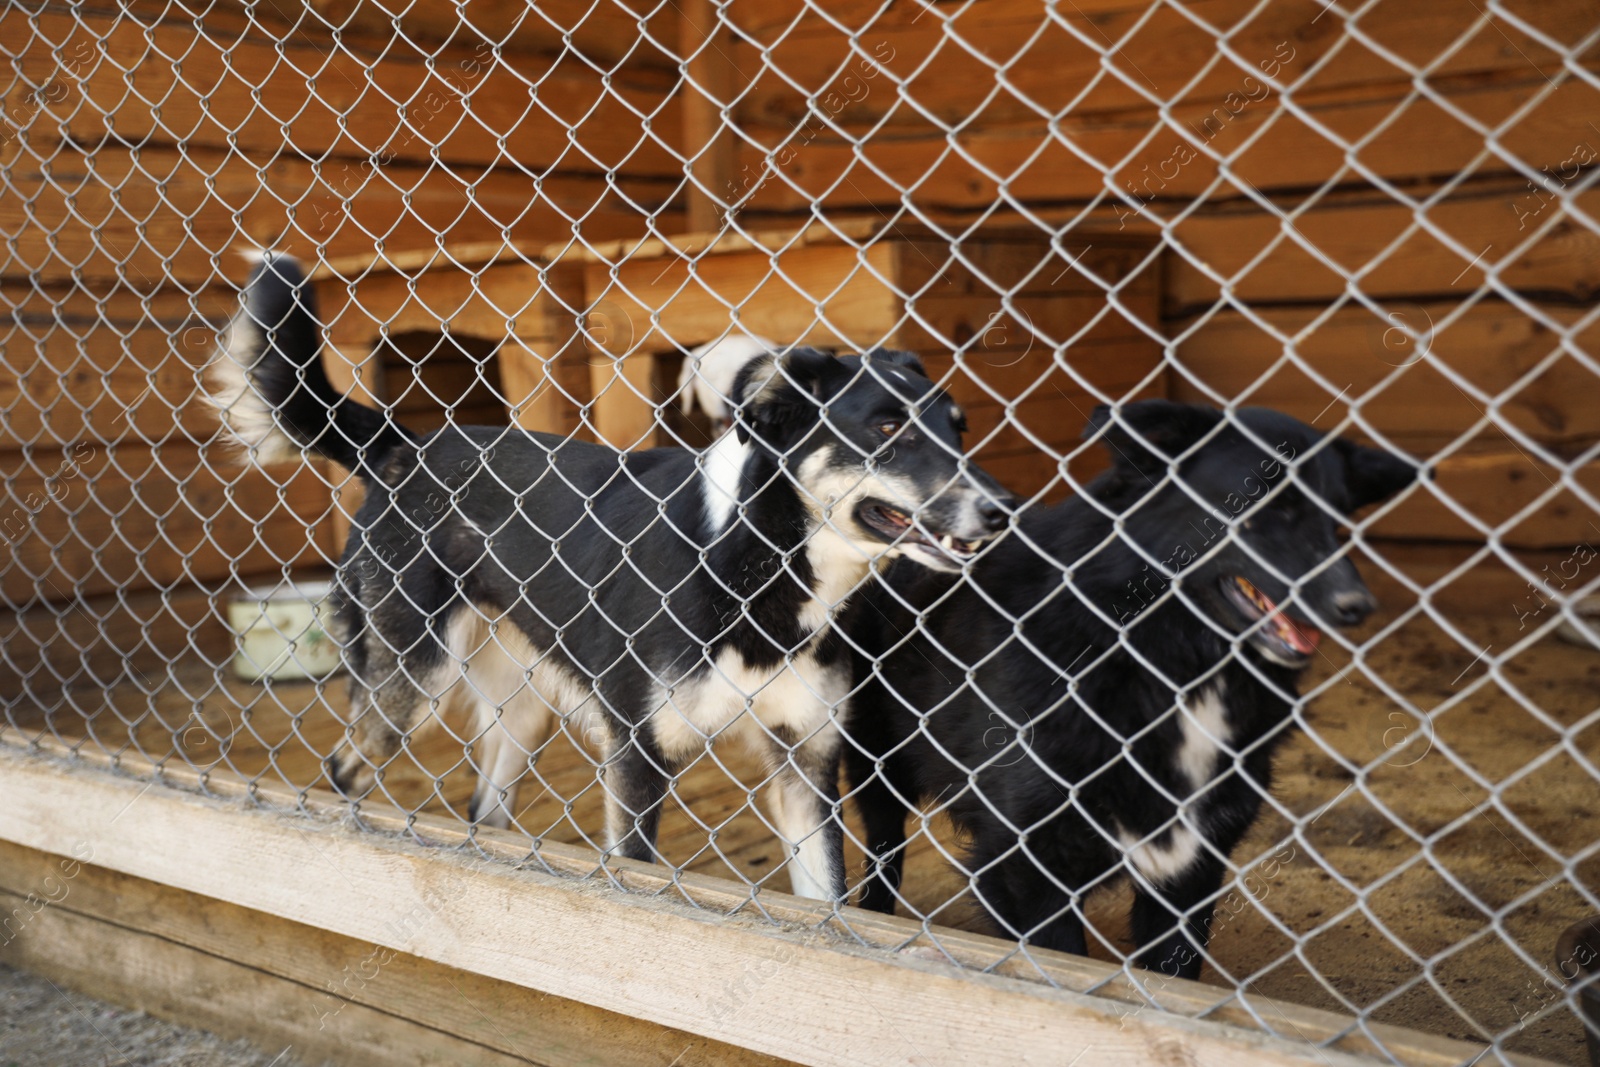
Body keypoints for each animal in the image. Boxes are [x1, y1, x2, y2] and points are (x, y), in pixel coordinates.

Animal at [209, 254, 1011, 895]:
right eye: (886, 429)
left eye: (959, 428)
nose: (1002, 508)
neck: (753, 563)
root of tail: (405, 443)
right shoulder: (638, 758)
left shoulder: (805, 765)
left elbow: (830, 905)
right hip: (413, 678)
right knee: (346, 766)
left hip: (519, 709)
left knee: (482, 808)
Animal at [844, 399, 1420, 979]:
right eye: (1262, 502)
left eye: (1338, 519)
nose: (1356, 606)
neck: (1178, 663)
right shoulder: (1023, 860)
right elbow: (1061, 963)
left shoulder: (1195, 865)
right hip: (875, 764)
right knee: (884, 847)